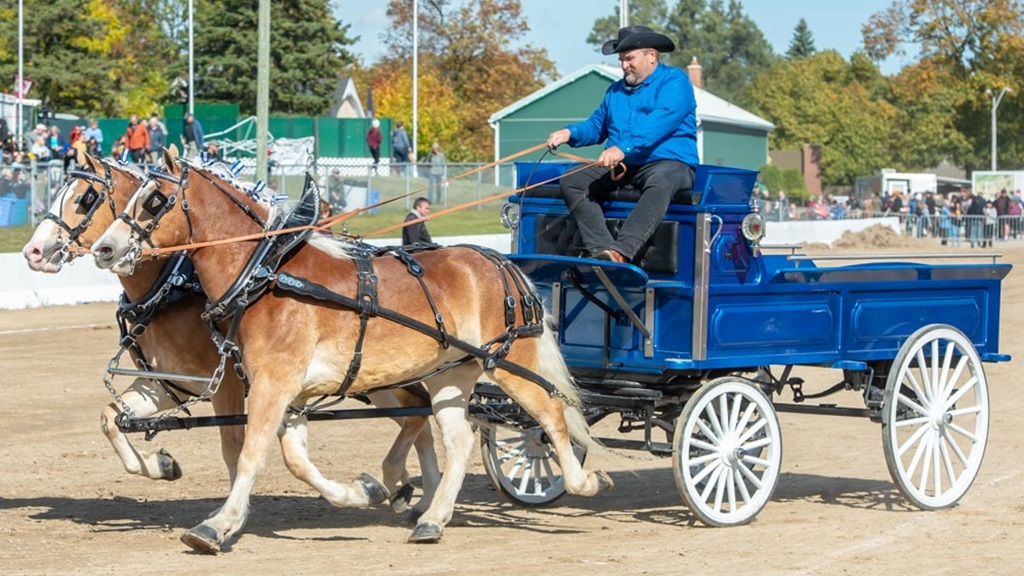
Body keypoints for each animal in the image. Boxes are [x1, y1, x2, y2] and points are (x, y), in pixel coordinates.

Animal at [22, 149, 440, 514]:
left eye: (86, 198)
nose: (33, 252)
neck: (173, 288)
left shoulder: (228, 384)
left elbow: (235, 448)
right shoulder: (167, 384)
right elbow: (110, 418)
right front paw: (161, 465)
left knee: (420, 412)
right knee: (420, 414)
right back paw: (415, 492)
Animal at [90, 148, 613, 552]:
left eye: (155, 200)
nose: (104, 249)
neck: (263, 275)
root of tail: (498, 262)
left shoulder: (271, 384)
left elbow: (251, 454)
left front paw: (217, 526)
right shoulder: (283, 391)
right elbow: (295, 460)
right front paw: (364, 491)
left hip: (507, 362)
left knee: (549, 416)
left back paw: (584, 481)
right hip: (451, 372)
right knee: (458, 437)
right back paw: (432, 517)